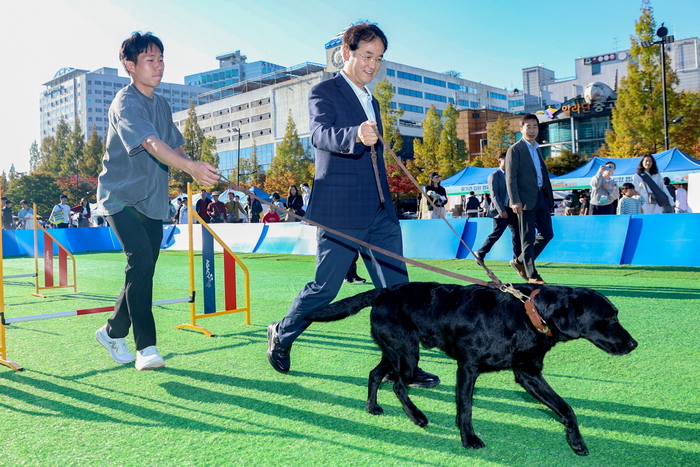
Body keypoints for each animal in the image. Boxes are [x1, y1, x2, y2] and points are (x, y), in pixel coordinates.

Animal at [306, 284, 640, 456]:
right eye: (608, 318)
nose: (634, 344)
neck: (528, 312)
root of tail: (382, 292)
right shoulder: (467, 367)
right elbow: (465, 407)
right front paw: (468, 439)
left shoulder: (529, 374)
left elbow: (566, 408)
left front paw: (576, 441)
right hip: (407, 354)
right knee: (399, 385)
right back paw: (417, 417)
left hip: (395, 352)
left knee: (376, 375)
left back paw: (372, 407)